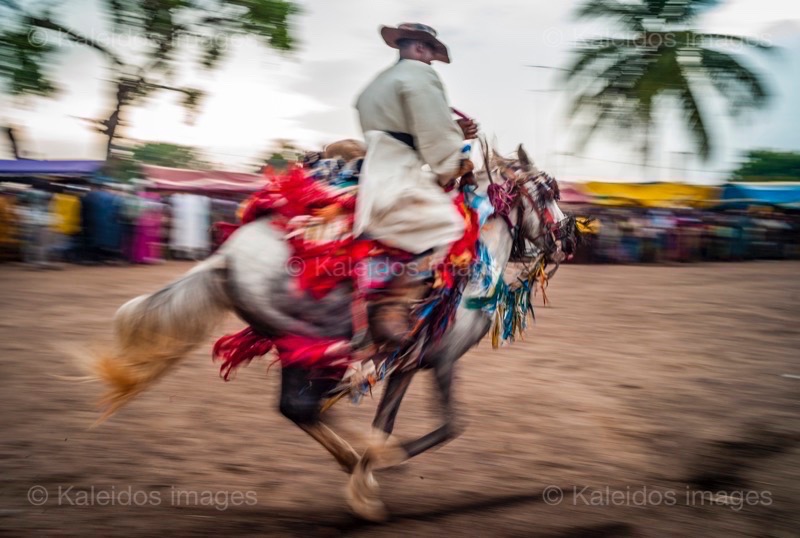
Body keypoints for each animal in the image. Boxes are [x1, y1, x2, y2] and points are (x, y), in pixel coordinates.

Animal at [86, 143, 576, 520]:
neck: (472, 264)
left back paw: (354, 465)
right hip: (314, 340)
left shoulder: (408, 364)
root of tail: (225, 258)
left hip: (295, 344)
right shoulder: (442, 358)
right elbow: (449, 426)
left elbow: (388, 421)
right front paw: (381, 464)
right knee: (303, 406)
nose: (570, 238)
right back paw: (362, 470)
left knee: (296, 408)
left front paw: (371, 466)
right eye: (548, 190)